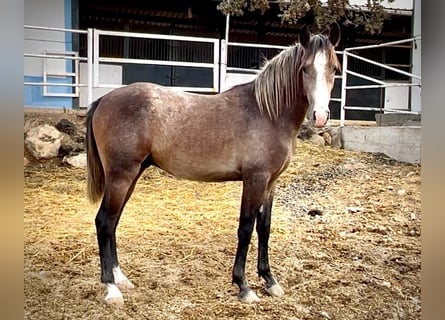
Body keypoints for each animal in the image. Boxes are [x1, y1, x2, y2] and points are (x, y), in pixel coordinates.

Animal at [86, 24, 340, 304]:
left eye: (335, 68)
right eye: (305, 68)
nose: (320, 116)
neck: (268, 113)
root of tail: (103, 100)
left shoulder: (271, 182)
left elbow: (264, 228)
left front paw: (270, 281)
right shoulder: (255, 180)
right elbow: (245, 228)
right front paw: (243, 286)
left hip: (130, 175)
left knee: (113, 222)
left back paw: (121, 278)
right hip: (121, 175)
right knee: (104, 221)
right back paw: (111, 288)